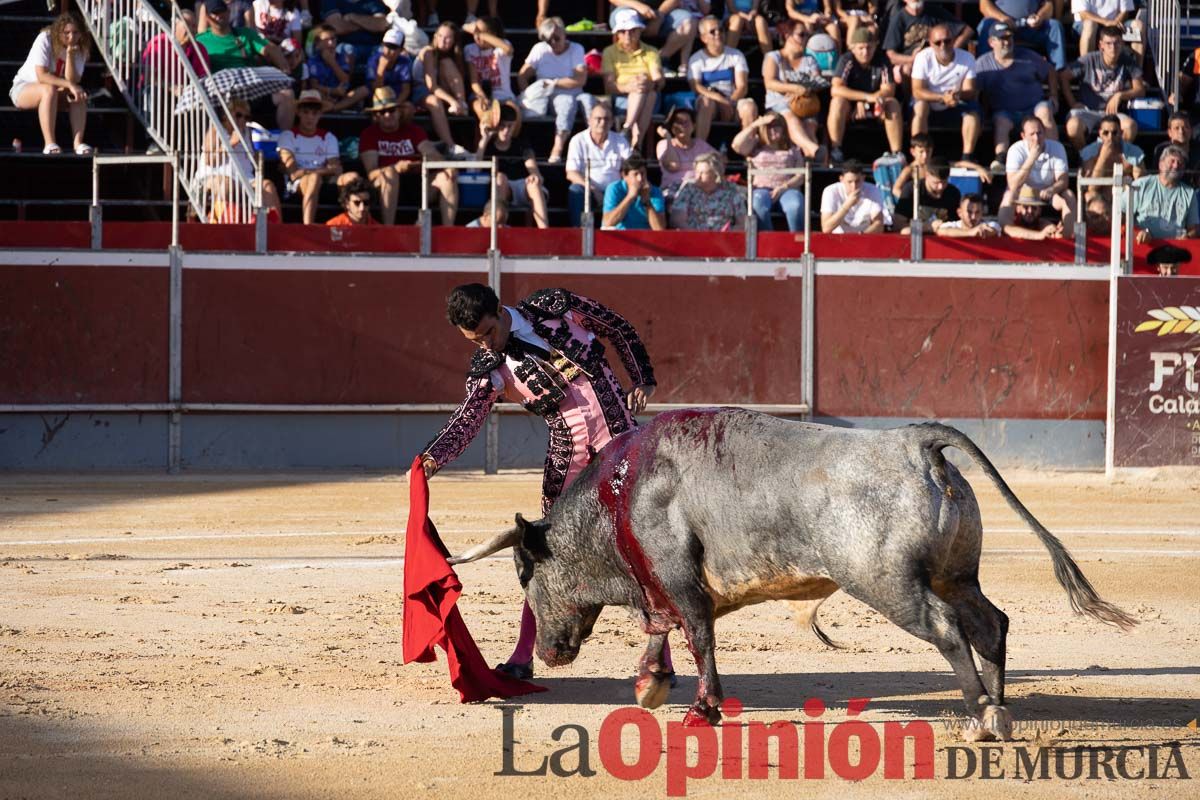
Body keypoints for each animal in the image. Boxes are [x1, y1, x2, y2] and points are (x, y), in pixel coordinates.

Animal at [451, 410, 1132, 743]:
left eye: (525, 578)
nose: (548, 653)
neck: (619, 495)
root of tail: (915, 444)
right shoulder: (663, 584)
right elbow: (661, 627)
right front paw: (649, 687)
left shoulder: (679, 578)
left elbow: (696, 636)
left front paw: (702, 710)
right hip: (957, 576)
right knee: (990, 625)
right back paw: (994, 709)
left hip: (890, 585)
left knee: (946, 632)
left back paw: (981, 718)